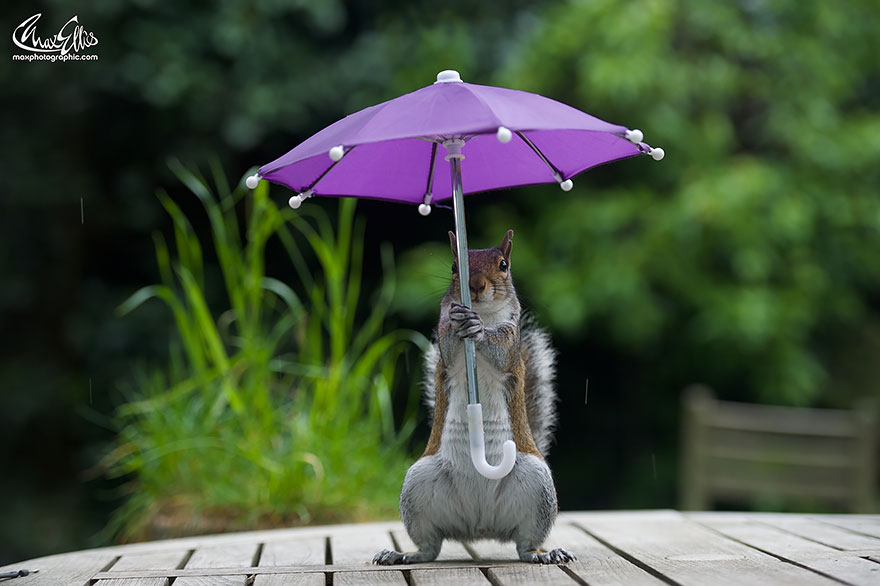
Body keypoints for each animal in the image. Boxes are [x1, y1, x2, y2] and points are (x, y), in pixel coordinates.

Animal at [374, 229, 575, 565]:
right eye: (455, 267)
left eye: (504, 265)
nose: (477, 286)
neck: (481, 312)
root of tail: (480, 528)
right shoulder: (444, 338)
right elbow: (447, 342)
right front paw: (461, 322)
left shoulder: (510, 339)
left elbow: (499, 350)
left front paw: (477, 329)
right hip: (418, 485)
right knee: (430, 546)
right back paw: (401, 555)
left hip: (537, 489)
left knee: (525, 544)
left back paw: (545, 554)